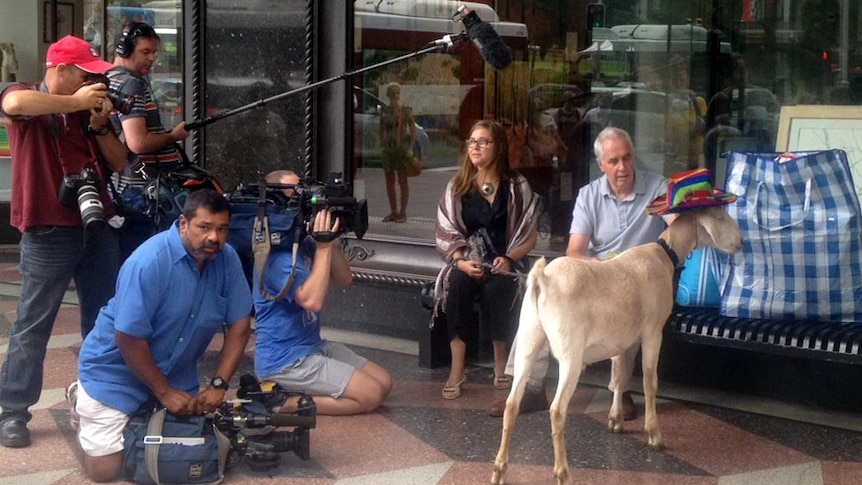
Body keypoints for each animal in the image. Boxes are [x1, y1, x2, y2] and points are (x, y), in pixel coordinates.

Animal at [492, 205, 744, 484]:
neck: (663, 253)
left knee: (512, 403)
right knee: (557, 410)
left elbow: (619, 377)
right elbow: (649, 382)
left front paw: (616, 421)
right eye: (719, 216)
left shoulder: (624, 341)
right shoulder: (652, 332)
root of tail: (542, 278)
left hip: (528, 337)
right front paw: (654, 435)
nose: (741, 242)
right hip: (570, 353)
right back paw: (562, 473)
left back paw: (499, 470)